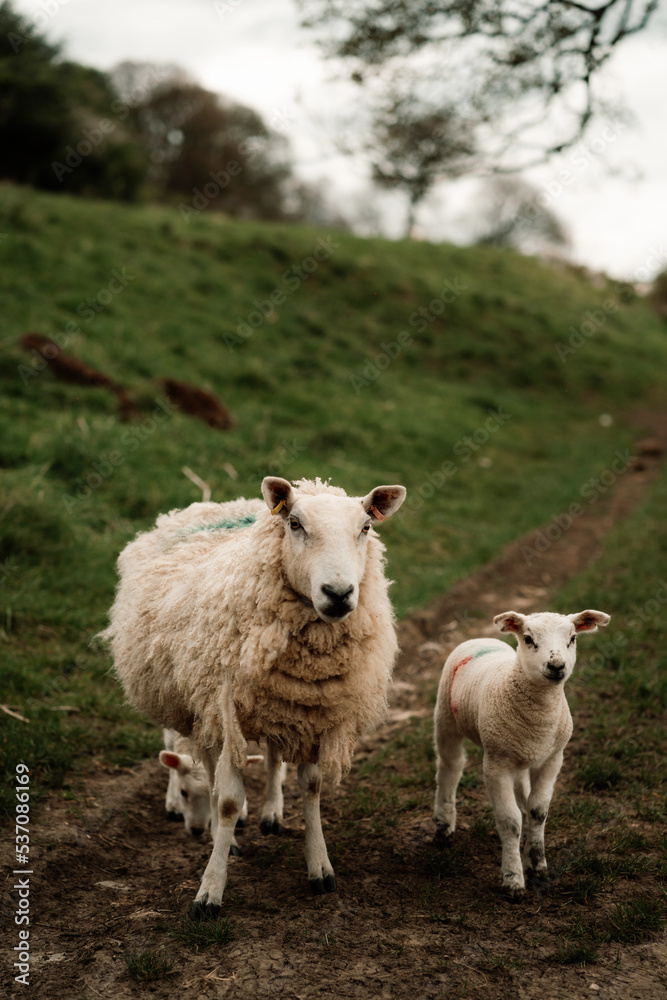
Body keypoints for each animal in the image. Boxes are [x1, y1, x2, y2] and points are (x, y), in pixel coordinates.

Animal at [101, 476, 406, 918]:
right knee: (197, 760)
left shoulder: (313, 712)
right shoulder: (226, 715)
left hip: (278, 706)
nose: (338, 593)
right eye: (295, 524)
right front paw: (209, 890)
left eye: (366, 527)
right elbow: (226, 800)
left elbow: (312, 788)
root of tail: (215, 505)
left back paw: (270, 812)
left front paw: (320, 868)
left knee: (275, 756)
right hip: (191, 701)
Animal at [433, 609, 610, 901]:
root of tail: (480, 638)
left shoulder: (552, 758)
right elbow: (510, 821)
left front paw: (536, 863)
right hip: (446, 719)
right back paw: (443, 824)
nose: (556, 665)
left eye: (573, 638)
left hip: (518, 755)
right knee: (450, 766)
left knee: (522, 793)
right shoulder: (495, 765)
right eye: (528, 639)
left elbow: (538, 810)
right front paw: (513, 879)